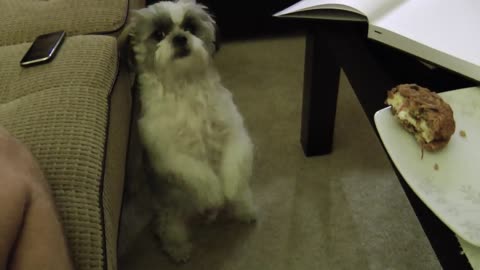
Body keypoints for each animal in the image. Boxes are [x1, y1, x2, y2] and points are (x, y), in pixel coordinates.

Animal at [126, 0, 255, 262]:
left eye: (190, 28)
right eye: (159, 34)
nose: (180, 38)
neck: (185, 85)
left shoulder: (233, 132)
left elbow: (233, 165)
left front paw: (229, 190)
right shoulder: (168, 154)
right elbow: (197, 173)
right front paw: (213, 194)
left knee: (241, 191)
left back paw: (243, 208)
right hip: (171, 212)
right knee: (171, 226)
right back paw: (178, 248)